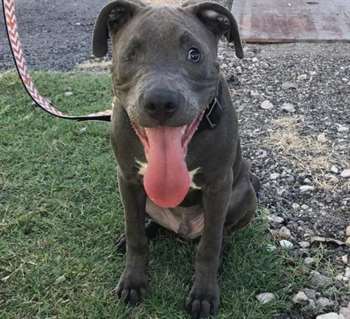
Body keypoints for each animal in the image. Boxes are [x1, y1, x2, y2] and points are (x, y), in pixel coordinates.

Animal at [91, 1, 258, 318]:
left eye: (194, 54)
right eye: (131, 53)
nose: (160, 102)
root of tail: (183, 228)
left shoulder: (219, 185)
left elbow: (209, 245)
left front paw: (204, 294)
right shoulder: (127, 179)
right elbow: (135, 234)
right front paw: (133, 280)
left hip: (244, 194)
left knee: (220, 232)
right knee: (146, 222)